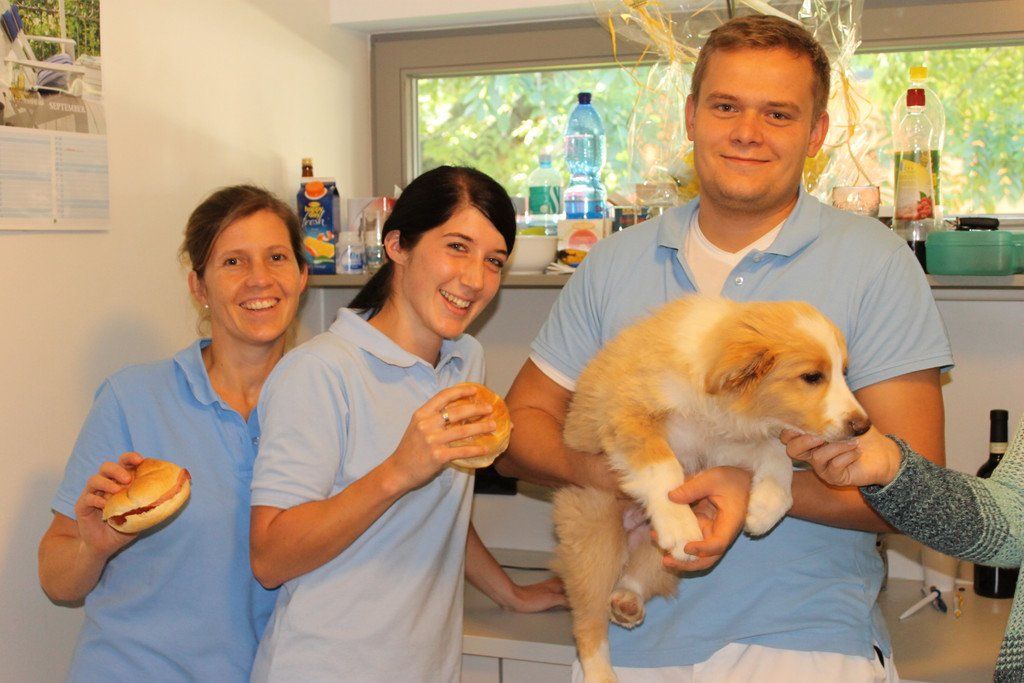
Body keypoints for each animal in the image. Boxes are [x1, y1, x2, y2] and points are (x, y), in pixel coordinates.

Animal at [551, 296, 871, 683]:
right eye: (812, 377)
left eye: (844, 372)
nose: (863, 426)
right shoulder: (628, 415)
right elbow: (664, 467)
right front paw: (680, 525)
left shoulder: (722, 444)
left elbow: (775, 452)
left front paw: (765, 508)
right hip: (594, 531)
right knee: (588, 620)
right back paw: (601, 670)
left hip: (654, 555)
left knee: (641, 573)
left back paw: (627, 599)